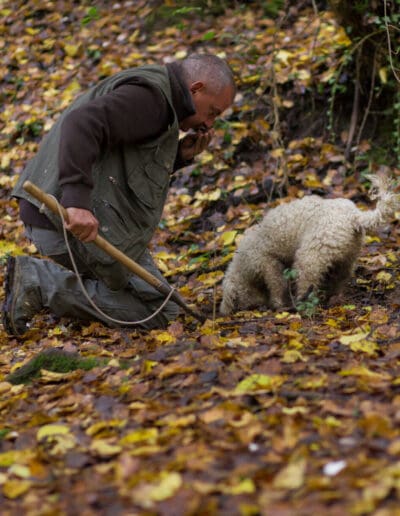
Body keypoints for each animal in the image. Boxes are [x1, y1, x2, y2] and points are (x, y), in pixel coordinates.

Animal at [220, 174, 398, 314]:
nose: (259, 306)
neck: (242, 264)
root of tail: (354, 216)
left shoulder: (269, 265)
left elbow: (277, 285)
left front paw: (277, 304)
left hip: (310, 256)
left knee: (307, 281)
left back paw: (302, 304)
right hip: (346, 256)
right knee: (340, 278)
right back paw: (332, 297)